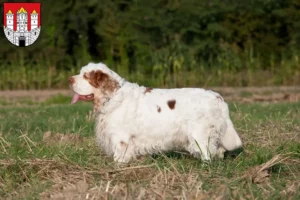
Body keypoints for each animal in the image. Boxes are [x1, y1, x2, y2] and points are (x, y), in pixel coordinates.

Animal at [69, 62, 243, 162]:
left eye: (86, 76)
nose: (69, 79)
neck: (114, 95)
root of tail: (217, 97)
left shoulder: (120, 138)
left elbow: (119, 156)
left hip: (199, 135)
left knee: (208, 154)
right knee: (219, 150)